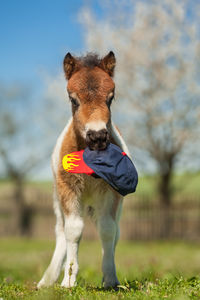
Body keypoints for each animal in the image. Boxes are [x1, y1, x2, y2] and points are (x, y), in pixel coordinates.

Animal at [37, 51, 130, 288]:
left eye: (111, 98)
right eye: (73, 99)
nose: (97, 136)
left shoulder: (111, 192)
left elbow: (108, 230)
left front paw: (110, 279)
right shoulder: (68, 189)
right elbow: (73, 230)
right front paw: (68, 280)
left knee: (115, 231)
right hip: (57, 198)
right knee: (61, 232)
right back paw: (47, 280)